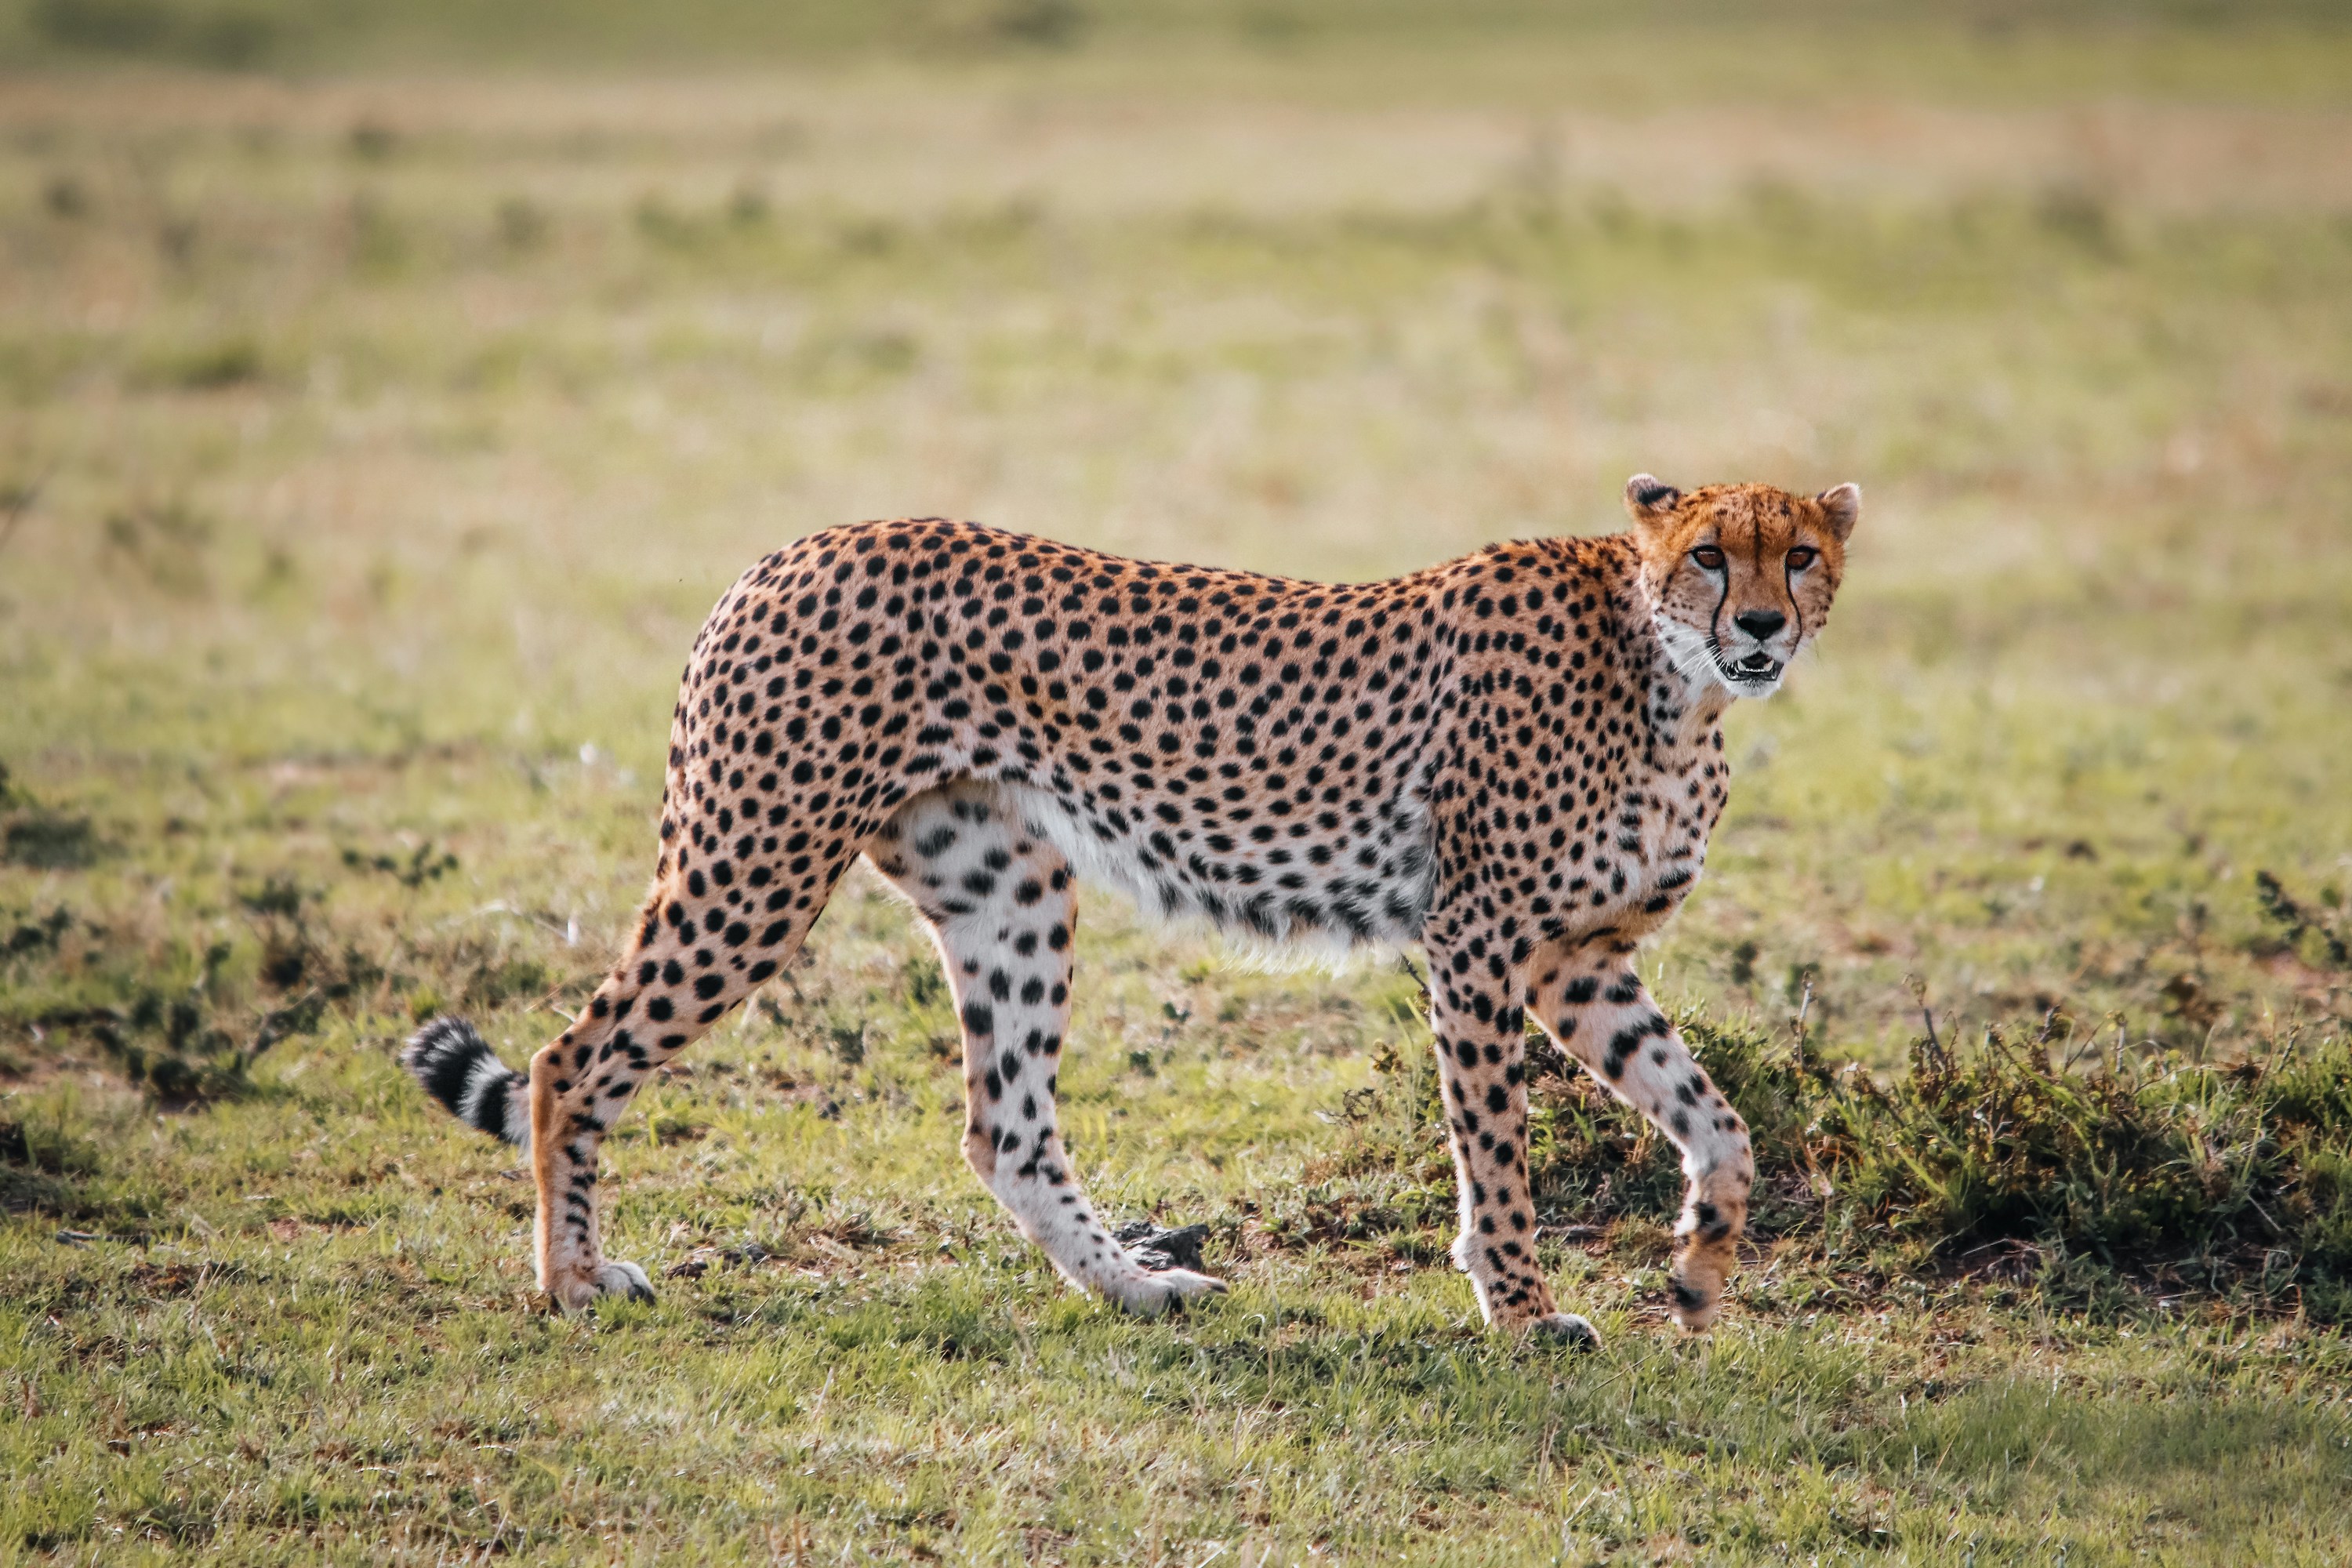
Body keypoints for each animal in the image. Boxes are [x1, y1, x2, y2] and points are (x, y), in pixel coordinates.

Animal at [403, 473, 1860, 1345]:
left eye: (1797, 555)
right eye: (1709, 558)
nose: (1764, 628)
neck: (1670, 683)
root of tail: (795, 548)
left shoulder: (1578, 960)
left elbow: (1718, 1121)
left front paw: (1699, 1269)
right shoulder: (1482, 944)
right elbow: (1496, 1149)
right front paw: (1520, 1308)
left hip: (1005, 885)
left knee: (1004, 1129)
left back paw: (1139, 1284)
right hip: (755, 867)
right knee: (571, 1058)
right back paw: (570, 1281)